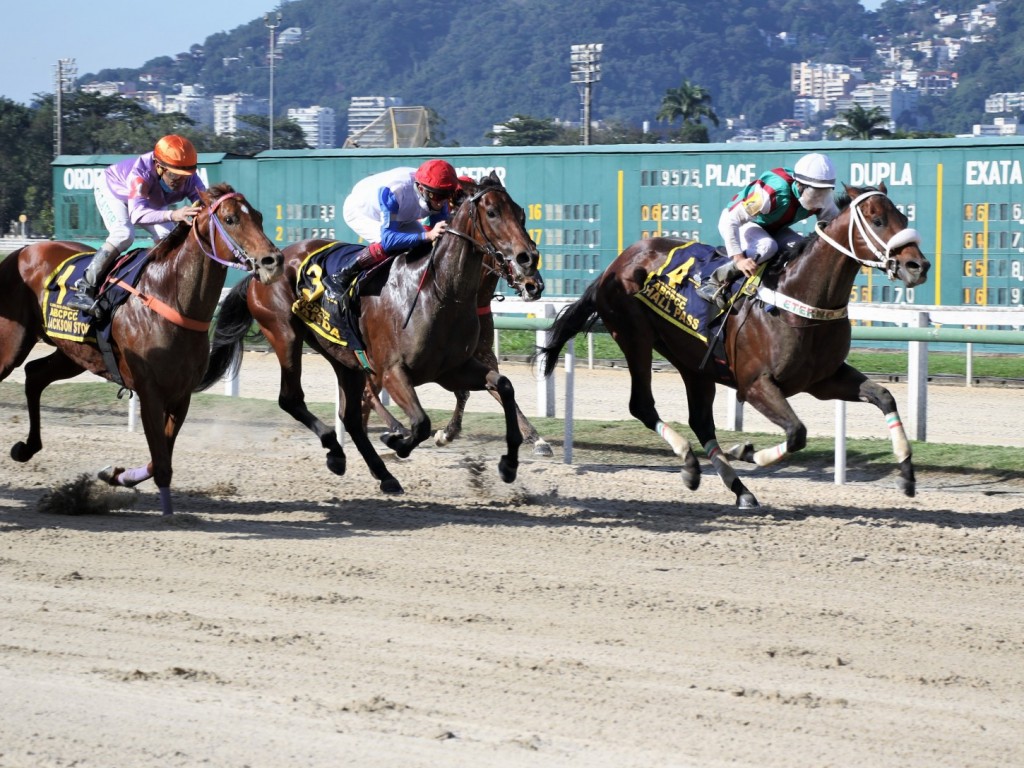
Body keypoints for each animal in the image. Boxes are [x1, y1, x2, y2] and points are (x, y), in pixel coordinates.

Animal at [0, 182, 284, 514]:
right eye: (230, 219)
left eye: (259, 216)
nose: (273, 261)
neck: (170, 296)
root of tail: (20, 252)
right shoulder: (150, 392)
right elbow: (161, 463)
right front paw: (169, 516)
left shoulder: (180, 395)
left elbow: (159, 458)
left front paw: (114, 475)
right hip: (12, 342)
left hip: (74, 354)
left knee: (35, 375)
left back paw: (26, 448)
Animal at [199, 174, 548, 487]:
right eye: (492, 212)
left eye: (520, 213)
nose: (528, 261)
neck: (439, 292)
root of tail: (262, 267)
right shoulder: (393, 371)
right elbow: (421, 423)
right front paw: (401, 440)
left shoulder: (453, 369)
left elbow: (503, 387)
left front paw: (513, 460)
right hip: (285, 335)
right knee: (292, 398)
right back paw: (352, 446)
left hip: (343, 356)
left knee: (351, 415)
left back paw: (377, 470)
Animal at [540, 184, 933, 512]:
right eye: (878, 220)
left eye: (903, 218)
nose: (919, 265)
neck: (800, 297)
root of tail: (617, 262)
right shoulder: (755, 384)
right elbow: (797, 433)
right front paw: (746, 451)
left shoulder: (824, 379)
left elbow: (884, 397)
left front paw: (906, 475)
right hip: (635, 338)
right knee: (642, 405)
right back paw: (690, 460)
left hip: (694, 363)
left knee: (700, 421)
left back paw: (736, 487)